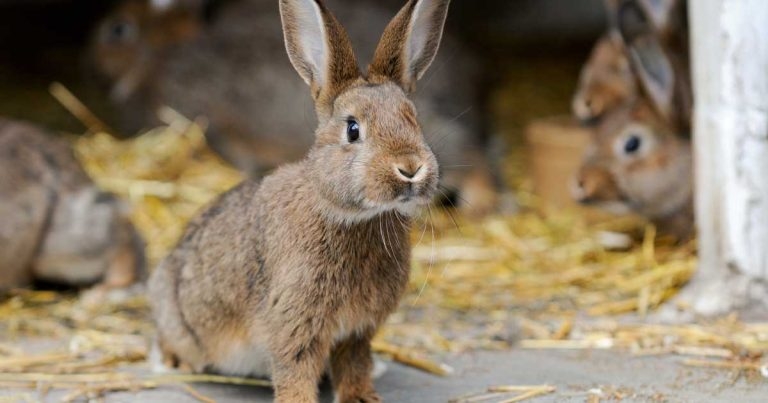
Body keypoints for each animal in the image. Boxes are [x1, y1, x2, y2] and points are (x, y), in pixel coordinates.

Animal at [147, 0, 445, 401]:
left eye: (414, 120)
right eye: (353, 129)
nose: (410, 168)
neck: (349, 215)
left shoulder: (356, 331)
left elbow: (355, 365)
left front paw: (361, 396)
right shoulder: (295, 323)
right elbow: (295, 369)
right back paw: (170, 362)